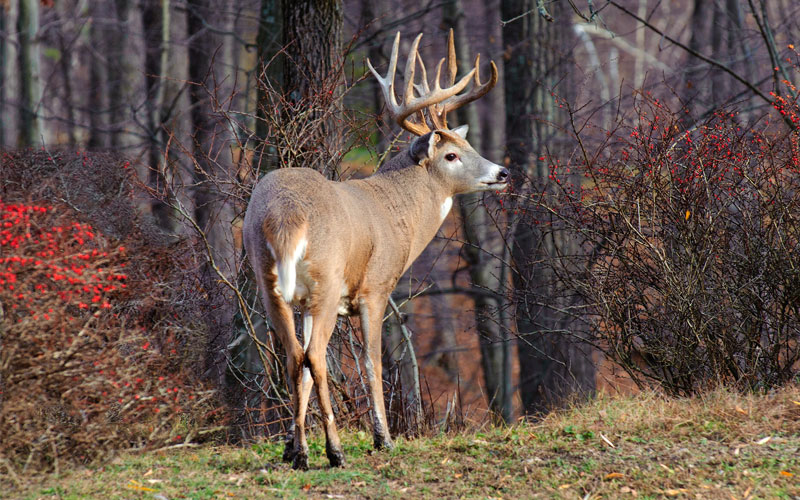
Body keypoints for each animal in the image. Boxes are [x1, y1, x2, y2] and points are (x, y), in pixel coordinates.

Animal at [242, 30, 506, 468]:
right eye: (451, 155)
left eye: (467, 148)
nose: (503, 172)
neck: (396, 212)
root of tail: (286, 215)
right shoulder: (375, 288)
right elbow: (372, 360)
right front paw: (383, 437)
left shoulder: (307, 301)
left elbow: (306, 369)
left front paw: (292, 445)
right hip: (327, 279)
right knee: (315, 357)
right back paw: (334, 451)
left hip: (270, 283)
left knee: (297, 358)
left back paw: (300, 453)